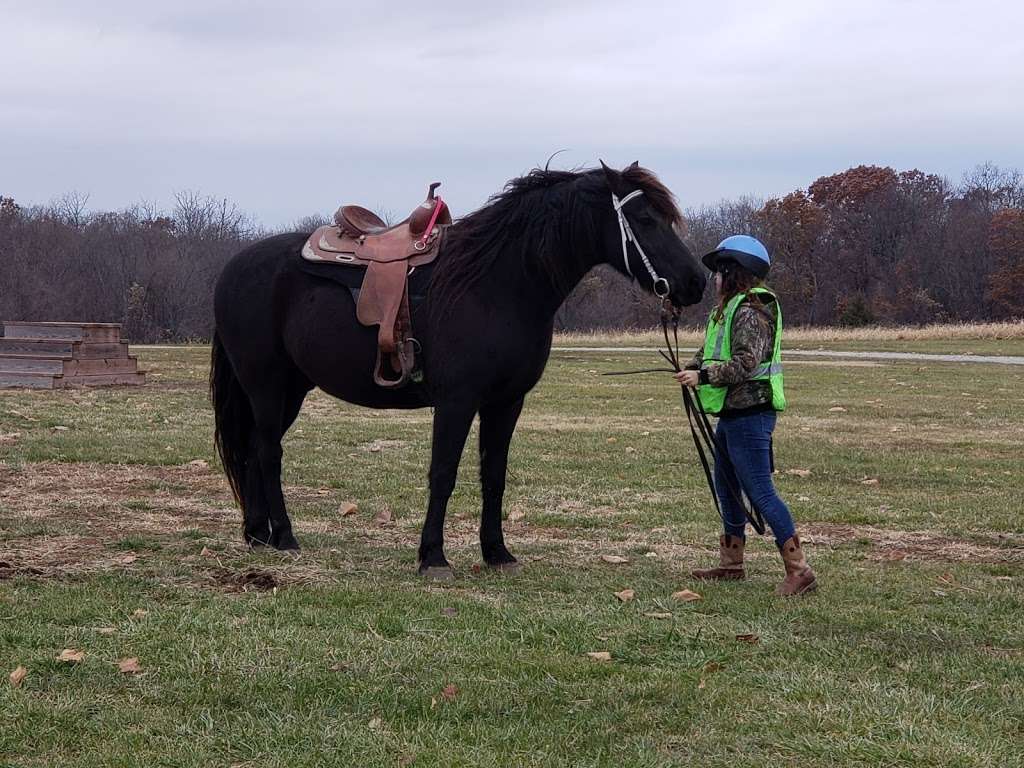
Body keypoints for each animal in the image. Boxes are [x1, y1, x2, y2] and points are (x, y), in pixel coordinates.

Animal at [207, 162, 704, 577]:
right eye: (644, 220)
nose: (695, 282)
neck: (495, 284)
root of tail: (233, 267)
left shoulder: (506, 402)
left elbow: (494, 475)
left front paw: (498, 553)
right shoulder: (457, 402)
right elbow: (443, 473)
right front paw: (433, 557)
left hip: (291, 390)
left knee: (252, 450)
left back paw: (258, 534)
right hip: (265, 385)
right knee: (268, 453)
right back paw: (285, 537)